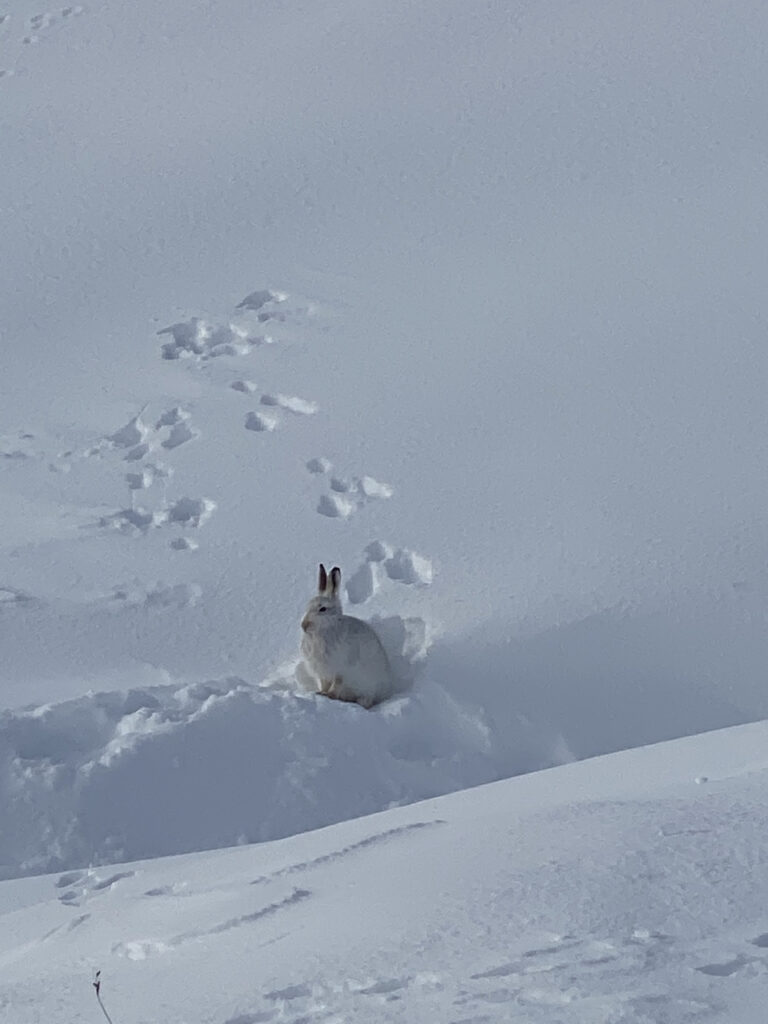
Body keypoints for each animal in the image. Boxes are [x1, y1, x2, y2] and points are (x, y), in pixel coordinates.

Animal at [300, 563, 393, 709]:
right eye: (308, 606)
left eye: (323, 609)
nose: (304, 625)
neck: (323, 631)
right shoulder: (323, 673)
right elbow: (324, 684)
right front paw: (320, 693)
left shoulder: (341, 670)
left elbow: (336, 684)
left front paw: (329, 696)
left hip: (368, 688)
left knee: (366, 701)